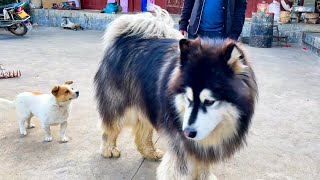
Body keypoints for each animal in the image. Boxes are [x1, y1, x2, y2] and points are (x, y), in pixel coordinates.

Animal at [94, 5, 256, 180]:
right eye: (188, 98)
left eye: (209, 101)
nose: (187, 133)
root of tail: (125, 38)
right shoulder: (180, 144)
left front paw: (205, 175)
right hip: (122, 106)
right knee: (110, 126)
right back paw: (108, 149)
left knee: (143, 131)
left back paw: (149, 152)